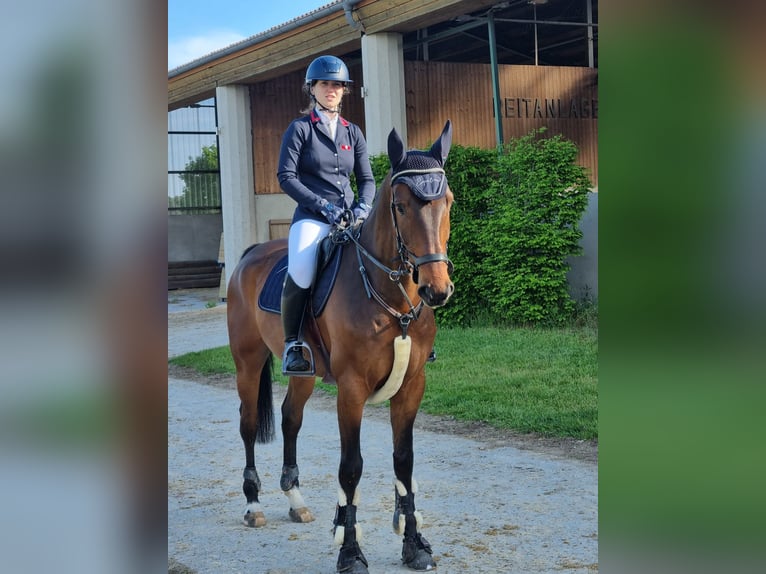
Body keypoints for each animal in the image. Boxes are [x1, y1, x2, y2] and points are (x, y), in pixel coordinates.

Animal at [226, 120, 454, 573]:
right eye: (401, 206)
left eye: (448, 201)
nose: (436, 289)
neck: (392, 299)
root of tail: (250, 255)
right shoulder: (351, 390)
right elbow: (351, 469)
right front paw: (350, 552)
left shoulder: (412, 386)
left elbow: (404, 461)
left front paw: (414, 543)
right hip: (247, 363)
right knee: (248, 424)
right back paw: (253, 505)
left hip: (304, 372)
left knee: (290, 418)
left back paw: (295, 500)